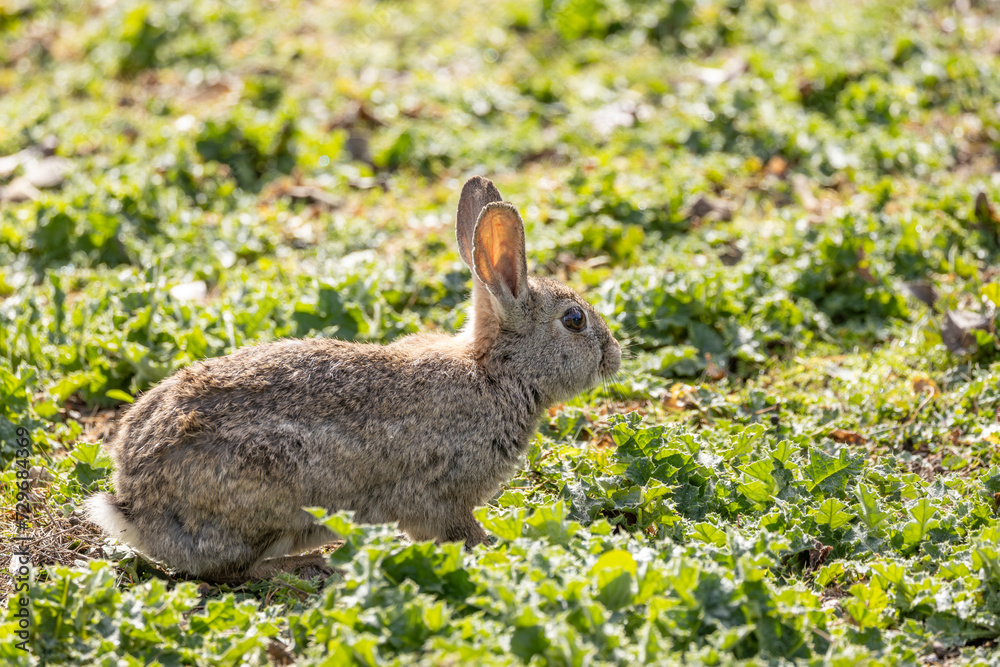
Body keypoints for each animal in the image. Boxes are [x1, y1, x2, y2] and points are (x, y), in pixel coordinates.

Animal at [84, 176, 622, 581]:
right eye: (575, 320)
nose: (615, 355)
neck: (494, 371)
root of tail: (134, 505)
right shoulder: (442, 495)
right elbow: (456, 529)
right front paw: (494, 546)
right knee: (235, 570)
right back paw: (305, 565)